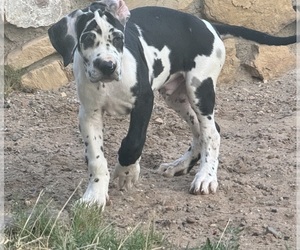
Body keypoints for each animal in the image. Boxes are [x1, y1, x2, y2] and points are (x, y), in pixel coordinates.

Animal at [48, 0, 296, 209]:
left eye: (118, 38)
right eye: (87, 39)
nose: (107, 66)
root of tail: (208, 24)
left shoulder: (144, 102)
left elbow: (133, 143)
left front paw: (127, 173)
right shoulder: (89, 114)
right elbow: (95, 158)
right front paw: (95, 195)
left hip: (200, 89)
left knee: (212, 133)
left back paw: (205, 177)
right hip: (177, 96)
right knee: (200, 131)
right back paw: (180, 165)